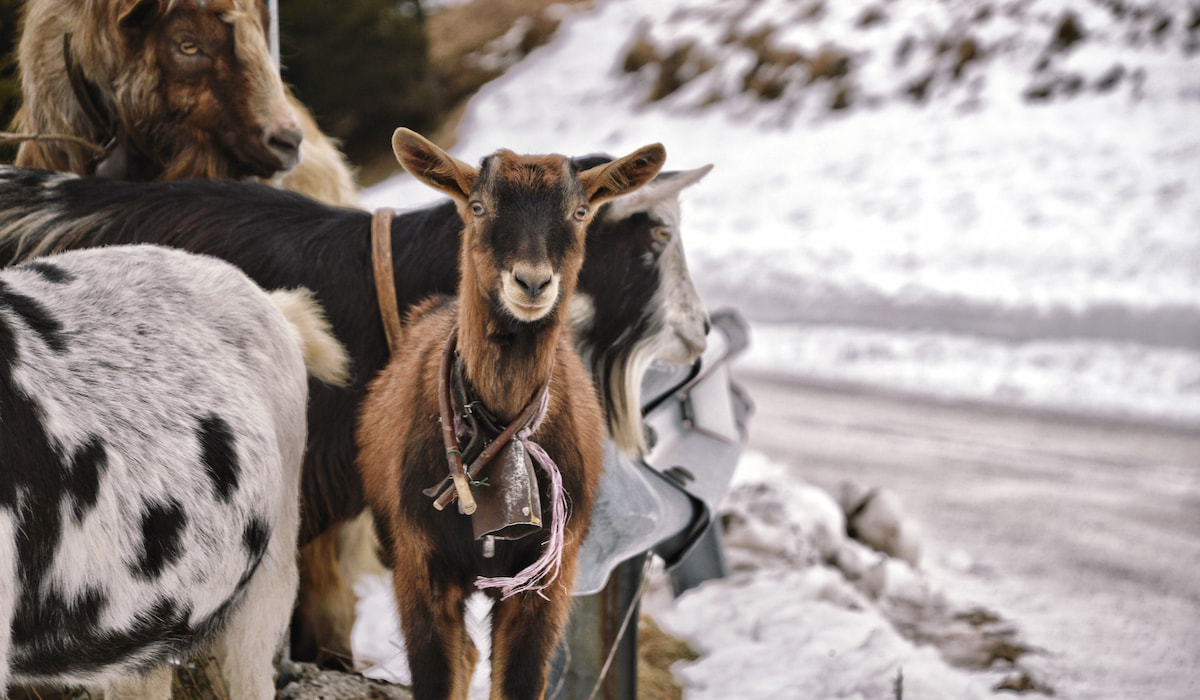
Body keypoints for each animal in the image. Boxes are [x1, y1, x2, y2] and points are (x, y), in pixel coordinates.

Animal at [356, 129, 665, 700]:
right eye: (478, 206)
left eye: (580, 211)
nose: (532, 282)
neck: (495, 431)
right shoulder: (419, 566)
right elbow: (437, 677)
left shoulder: (546, 579)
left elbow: (520, 681)